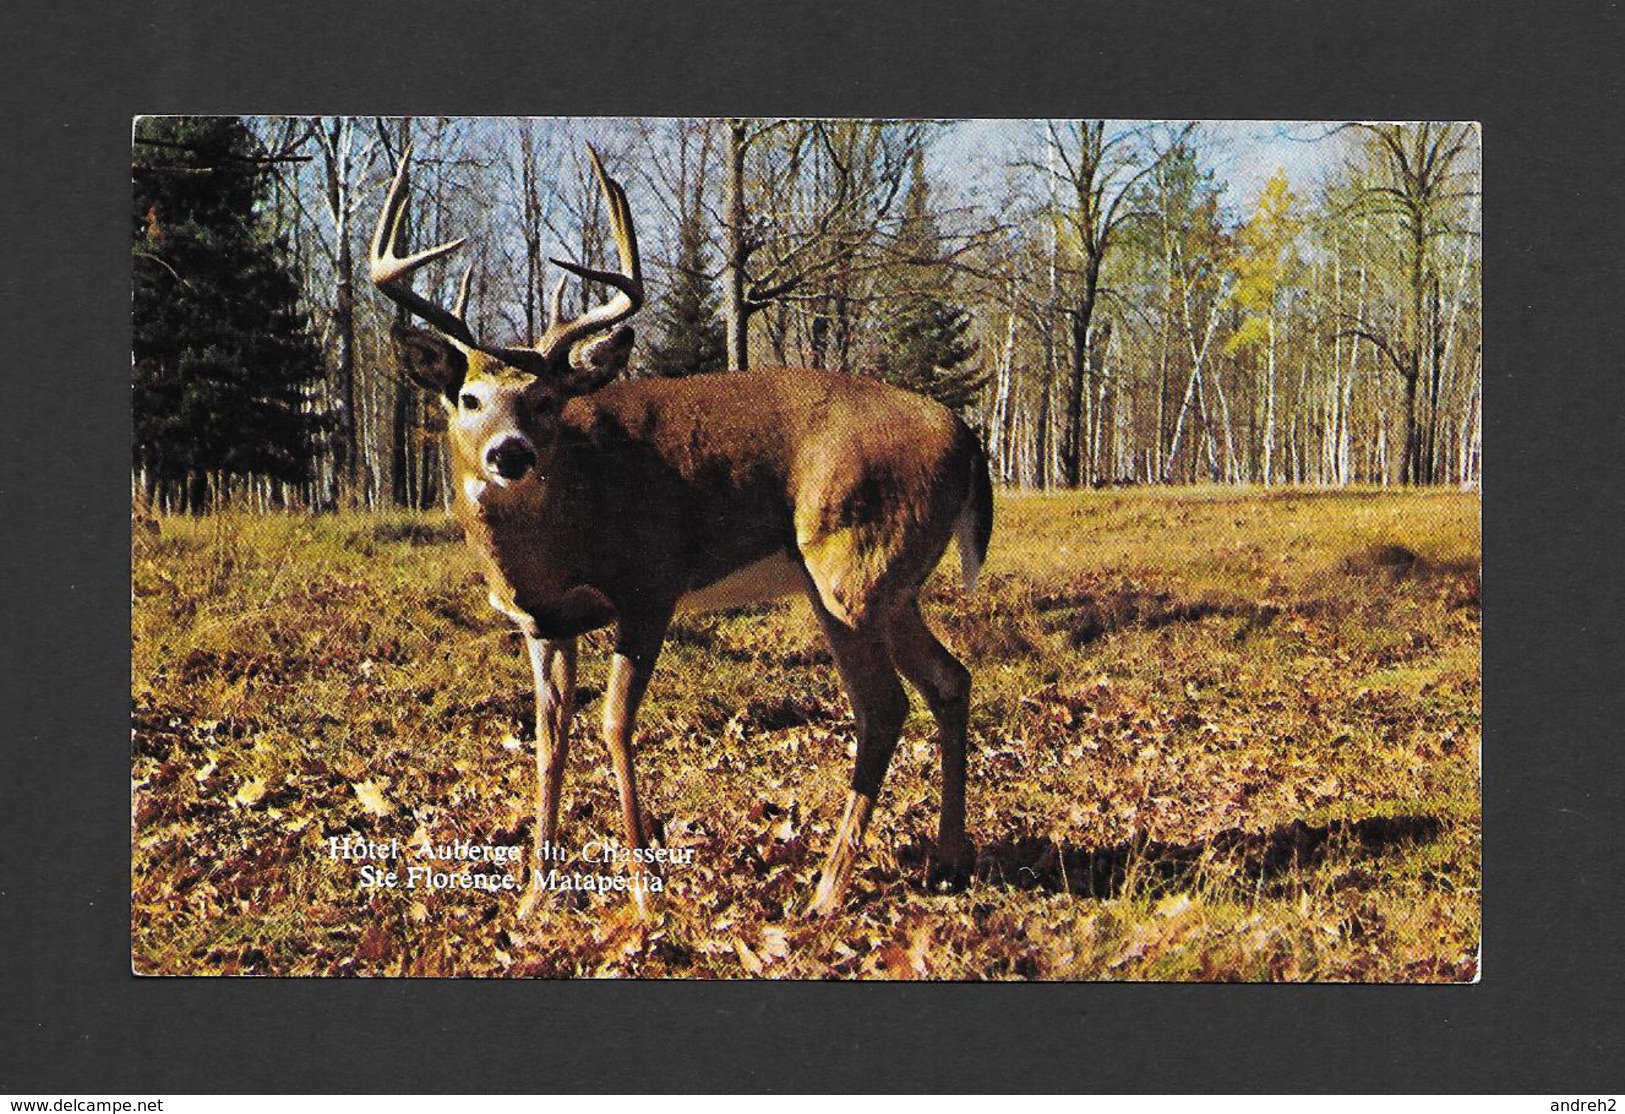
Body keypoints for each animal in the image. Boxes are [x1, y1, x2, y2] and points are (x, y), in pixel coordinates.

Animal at [372, 143, 988, 922]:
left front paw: (642, 895)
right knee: (949, 679)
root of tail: (966, 436)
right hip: (890, 585)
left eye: (544, 400)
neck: (556, 541)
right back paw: (947, 859)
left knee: (883, 708)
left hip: (850, 570)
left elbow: (613, 725)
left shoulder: (649, 587)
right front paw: (535, 895)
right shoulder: (544, 624)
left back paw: (825, 890)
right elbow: (548, 738)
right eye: (469, 398)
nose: (510, 454)